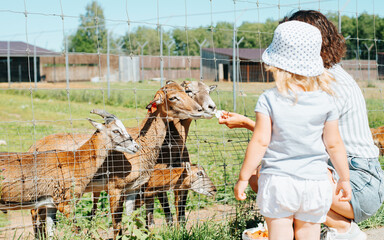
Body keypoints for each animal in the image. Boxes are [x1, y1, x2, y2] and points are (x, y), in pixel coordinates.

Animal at [0, 109, 138, 239]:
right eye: (116, 131)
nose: (136, 146)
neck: (75, 160)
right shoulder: (66, 205)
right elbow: (77, 231)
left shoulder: (51, 205)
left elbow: (51, 231)